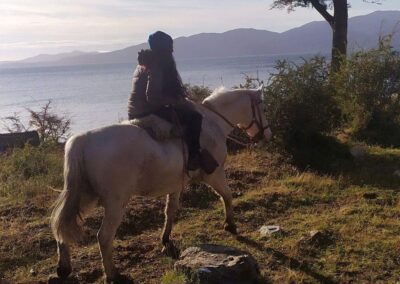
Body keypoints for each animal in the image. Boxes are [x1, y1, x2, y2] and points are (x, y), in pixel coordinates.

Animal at [48, 87, 270, 282]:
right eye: (263, 106)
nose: (265, 134)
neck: (212, 124)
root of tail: (82, 140)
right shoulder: (215, 174)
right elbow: (227, 195)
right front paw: (230, 224)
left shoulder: (175, 185)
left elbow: (170, 211)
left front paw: (166, 239)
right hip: (114, 203)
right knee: (103, 237)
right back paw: (113, 275)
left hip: (84, 197)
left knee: (60, 228)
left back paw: (63, 268)